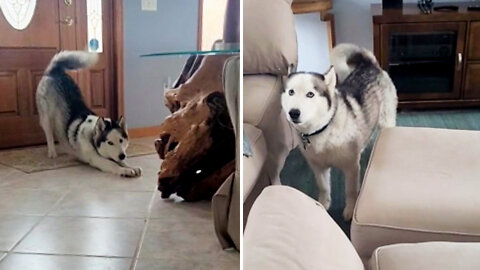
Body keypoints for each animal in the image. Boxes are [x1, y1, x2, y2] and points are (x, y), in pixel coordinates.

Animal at [282, 42, 398, 219]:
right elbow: (323, 188)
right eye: (291, 92)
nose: (293, 113)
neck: (322, 130)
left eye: (310, 94)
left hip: (386, 121)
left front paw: (350, 209)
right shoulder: (318, 167)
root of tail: (368, 64)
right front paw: (322, 206)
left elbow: (350, 191)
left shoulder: (351, 168)